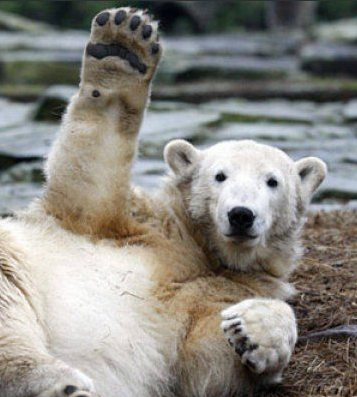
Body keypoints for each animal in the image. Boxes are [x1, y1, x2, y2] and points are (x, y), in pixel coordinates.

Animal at [0, 7, 326, 396]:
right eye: (220, 176)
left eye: (272, 181)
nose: (241, 215)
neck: (199, 247)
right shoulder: (135, 226)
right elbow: (89, 177)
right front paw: (123, 46)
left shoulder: (223, 289)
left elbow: (208, 363)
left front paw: (252, 329)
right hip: (12, 259)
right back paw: (63, 382)